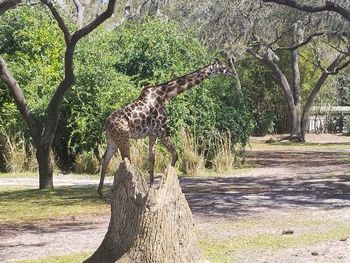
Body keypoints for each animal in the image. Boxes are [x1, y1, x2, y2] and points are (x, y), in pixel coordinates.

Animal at [97, 59, 235, 196]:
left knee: (105, 159)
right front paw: (166, 181)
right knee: (126, 161)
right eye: (223, 67)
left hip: (112, 139)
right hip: (123, 137)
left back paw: (101, 192)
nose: (233, 73)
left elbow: (152, 158)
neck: (166, 95)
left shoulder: (152, 133)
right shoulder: (160, 130)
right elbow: (175, 154)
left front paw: (151, 186)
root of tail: (106, 123)